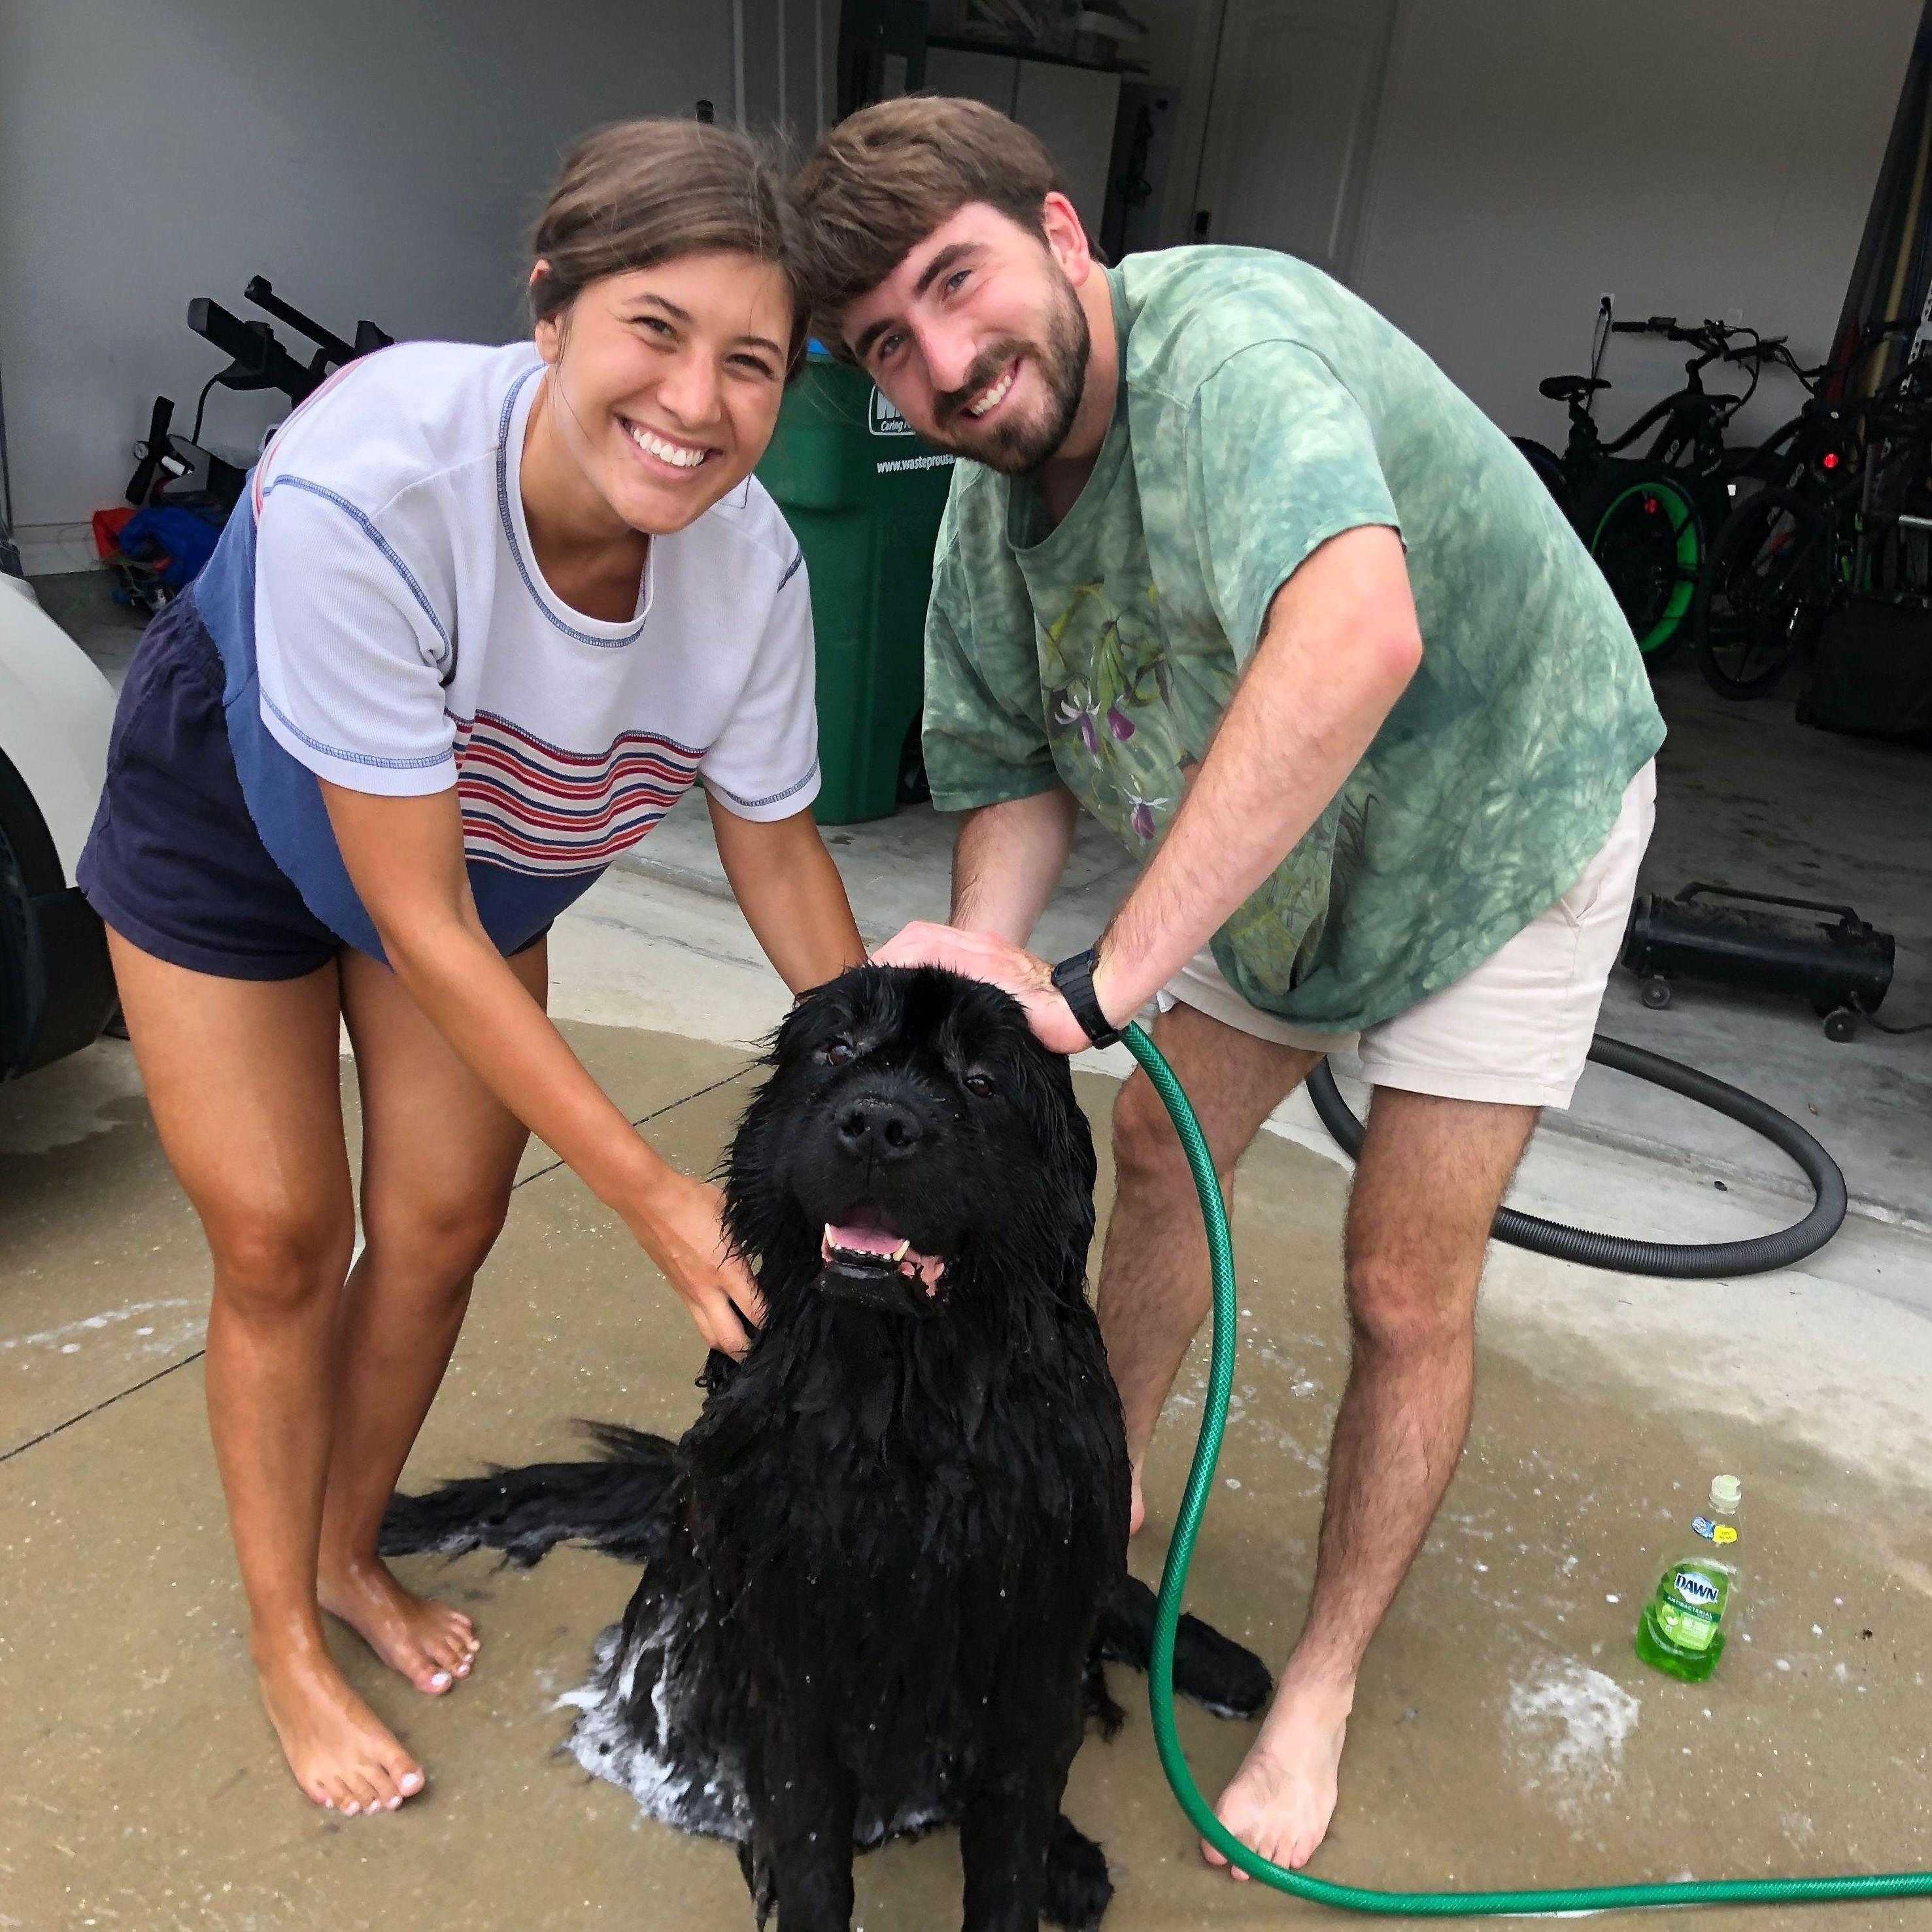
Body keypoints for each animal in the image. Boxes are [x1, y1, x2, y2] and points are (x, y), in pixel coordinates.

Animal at [386, 966, 1275, 1932]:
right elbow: (815, 1856)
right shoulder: (795, 1666)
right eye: (837, 1049)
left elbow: (1008, 1840)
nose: (878, 1122)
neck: (902, 1409)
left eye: (980, 1080)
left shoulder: (1028, 1630)